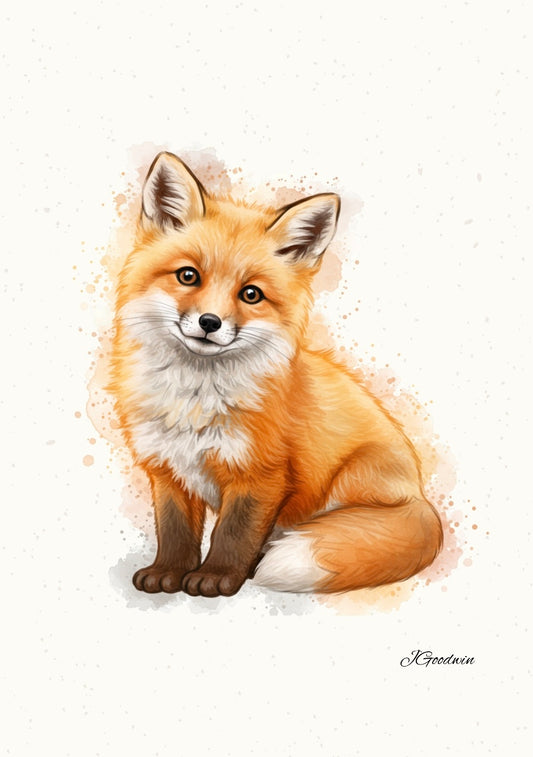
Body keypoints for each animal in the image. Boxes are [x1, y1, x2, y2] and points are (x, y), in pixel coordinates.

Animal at [109, 151, 443, 597]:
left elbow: (234, 534)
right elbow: (175, 530)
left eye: (251, 294)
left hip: (348, 483)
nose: (210, 322)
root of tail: (421, 499)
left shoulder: (262, 476)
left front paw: (217, 577)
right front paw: (168, 572)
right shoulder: (167, 468)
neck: (195, 402)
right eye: (188, 275)